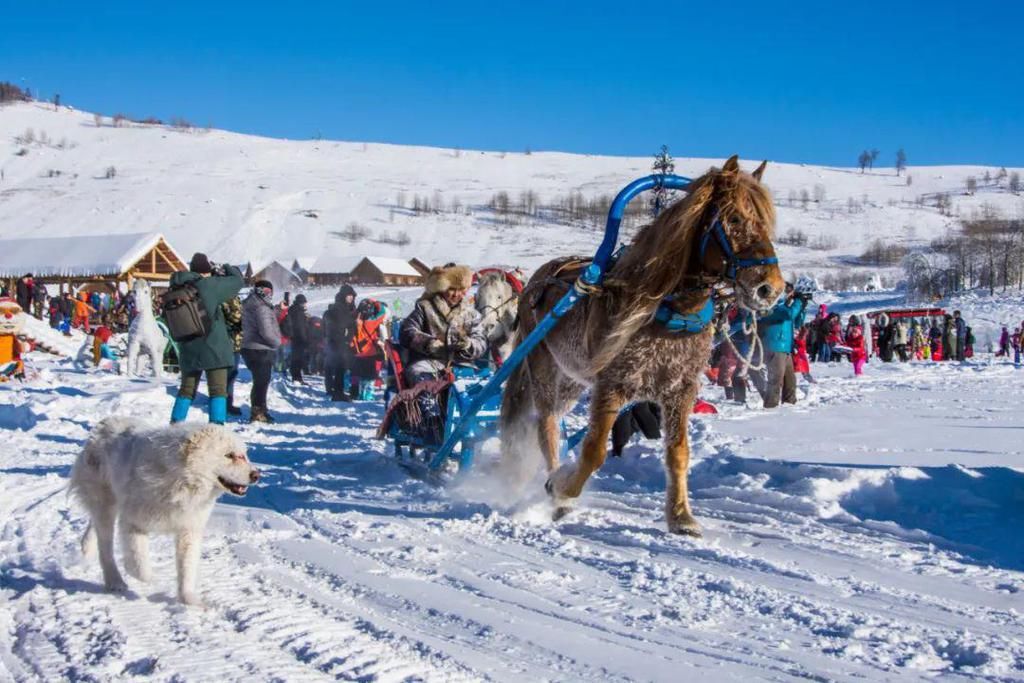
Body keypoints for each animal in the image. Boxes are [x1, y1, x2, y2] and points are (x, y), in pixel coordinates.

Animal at [68, 417, 258, 602]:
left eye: (245, 455)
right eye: (229, 455)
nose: (257, 475)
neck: (181, 482)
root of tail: (105, 423)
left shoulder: (189, 529)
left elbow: (187, 568)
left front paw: (189, 599)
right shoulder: (132, 522)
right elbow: (139, 564)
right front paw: (148, 578)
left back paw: (87, 545)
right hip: (104, 502)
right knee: (105, 546)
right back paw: (115, 581)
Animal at [499, 157, 778, 536]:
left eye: (767, 223)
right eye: (734, 219)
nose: (771, 288)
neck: (670, 311)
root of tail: (536, 280)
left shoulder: (680, 390)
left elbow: (678, 453)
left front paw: (681, 516)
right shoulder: (612, 384)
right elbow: (594, 451)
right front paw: (562, 490)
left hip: (571, 379)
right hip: (542, 364)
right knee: (547, 424)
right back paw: (555, 480)